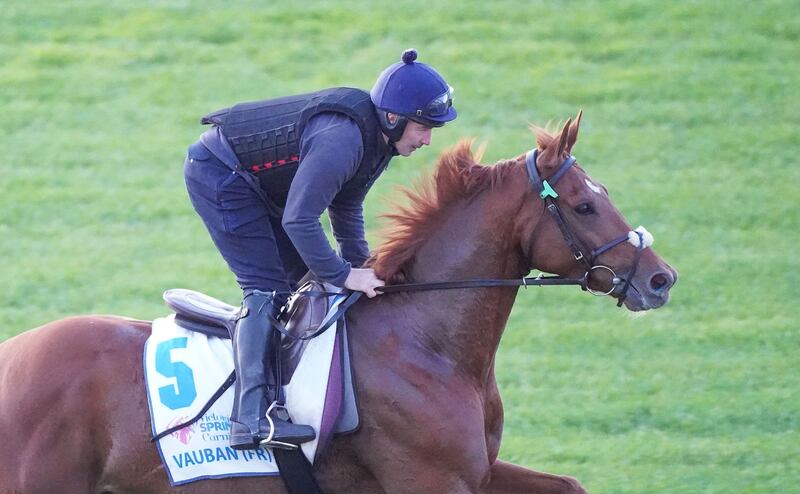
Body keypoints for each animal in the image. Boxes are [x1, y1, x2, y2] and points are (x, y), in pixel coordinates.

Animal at [0, 114, 676, 492]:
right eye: (585, 205)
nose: (660, 279)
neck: (427, 343)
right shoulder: (431, 479)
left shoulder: (477, 472)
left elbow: (570, 483)